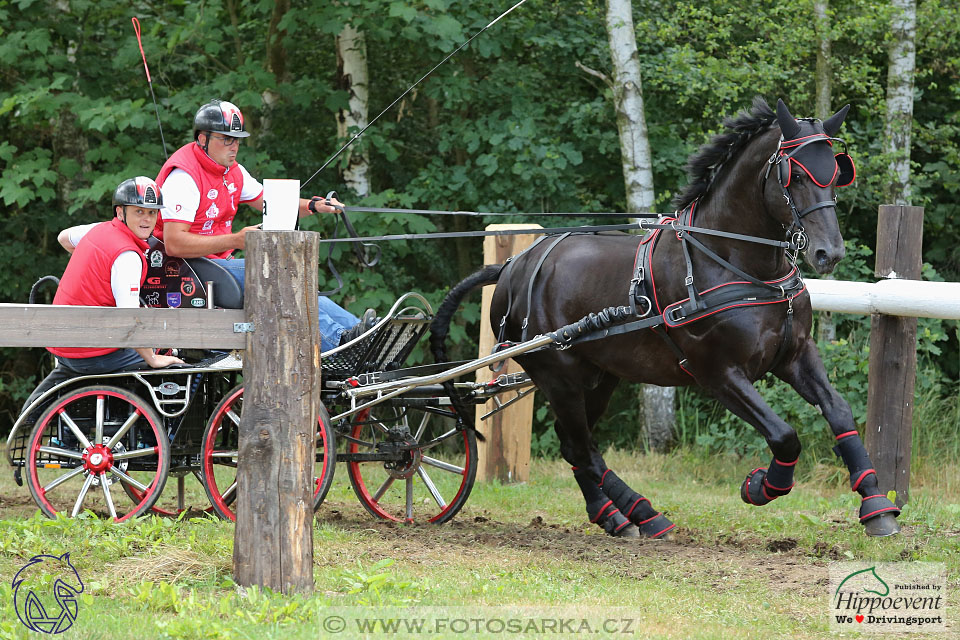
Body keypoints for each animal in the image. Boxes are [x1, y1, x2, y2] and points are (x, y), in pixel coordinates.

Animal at [434, 99, 900, 540]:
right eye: (796, 177)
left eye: (836, 173)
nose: (829, 252)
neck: (734, 262)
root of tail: (513, 266)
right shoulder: (719, 374)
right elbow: (784, 435)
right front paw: (760, 486)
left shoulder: (795, 355)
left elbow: (839, 412)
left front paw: (876, 506)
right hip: (557, 374)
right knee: (580, 447)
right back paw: (642, 513)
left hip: (598, 376)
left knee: (576, 445)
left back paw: (616, 515)